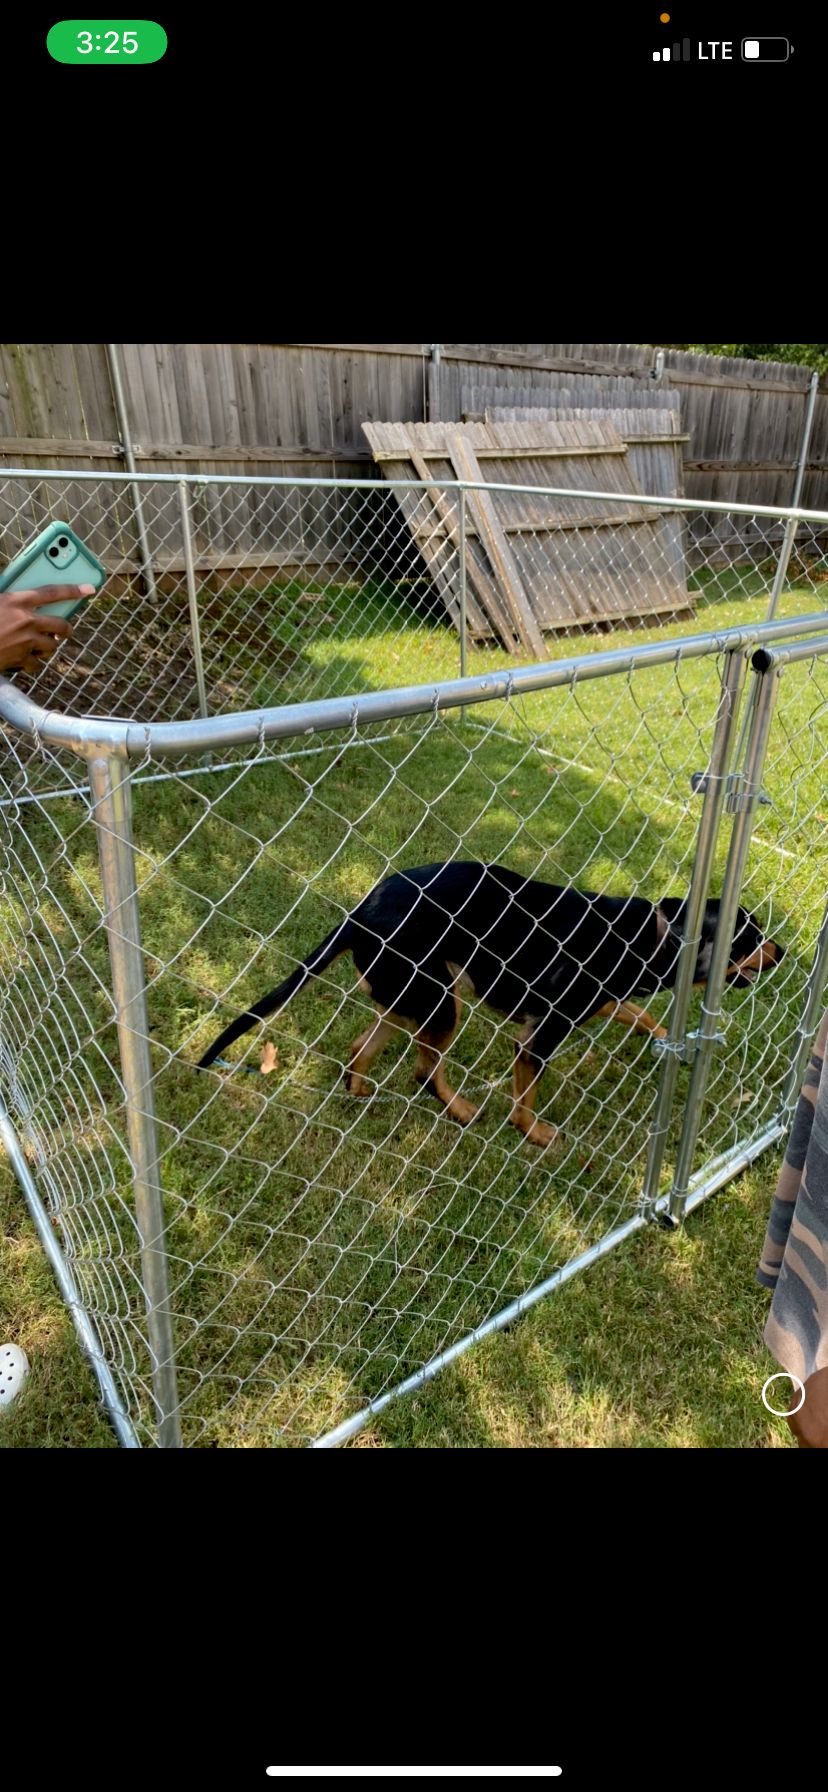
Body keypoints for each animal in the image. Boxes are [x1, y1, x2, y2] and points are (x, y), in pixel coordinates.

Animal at [195, 867, 781, 1146]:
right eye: (750, 937)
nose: (782, 953)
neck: (655, 934)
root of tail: (359, 913)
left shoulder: (587, 1006)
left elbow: (636, 1012)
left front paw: (661, 1035)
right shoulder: (539, 1036)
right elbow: (527, 1097)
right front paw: (533, 1133)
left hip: (414, 995)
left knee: (362, 1048)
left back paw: (361, 1089)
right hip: (443, 999)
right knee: (424, 1070)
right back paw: (457, 1108)